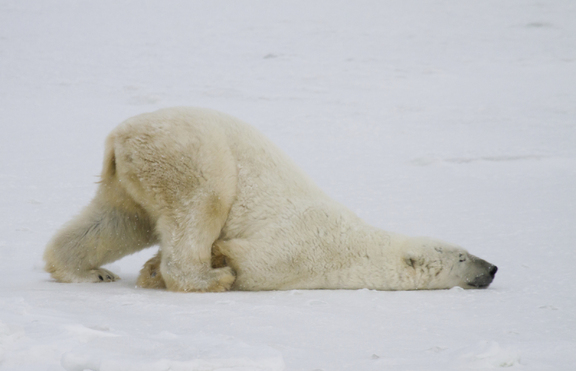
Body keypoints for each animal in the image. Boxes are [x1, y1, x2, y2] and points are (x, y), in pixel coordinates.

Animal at [44, 107, 496, 294]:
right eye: (462, 256)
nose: (492, 268)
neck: (358, 248)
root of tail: (119, 137)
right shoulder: (302, 251)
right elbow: (250, 263)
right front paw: (213, 263)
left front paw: (149, 271)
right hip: (187, 154)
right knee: (201, 204)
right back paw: (207, 279)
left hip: (132, 178)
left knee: (118, 221)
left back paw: (88, 272)